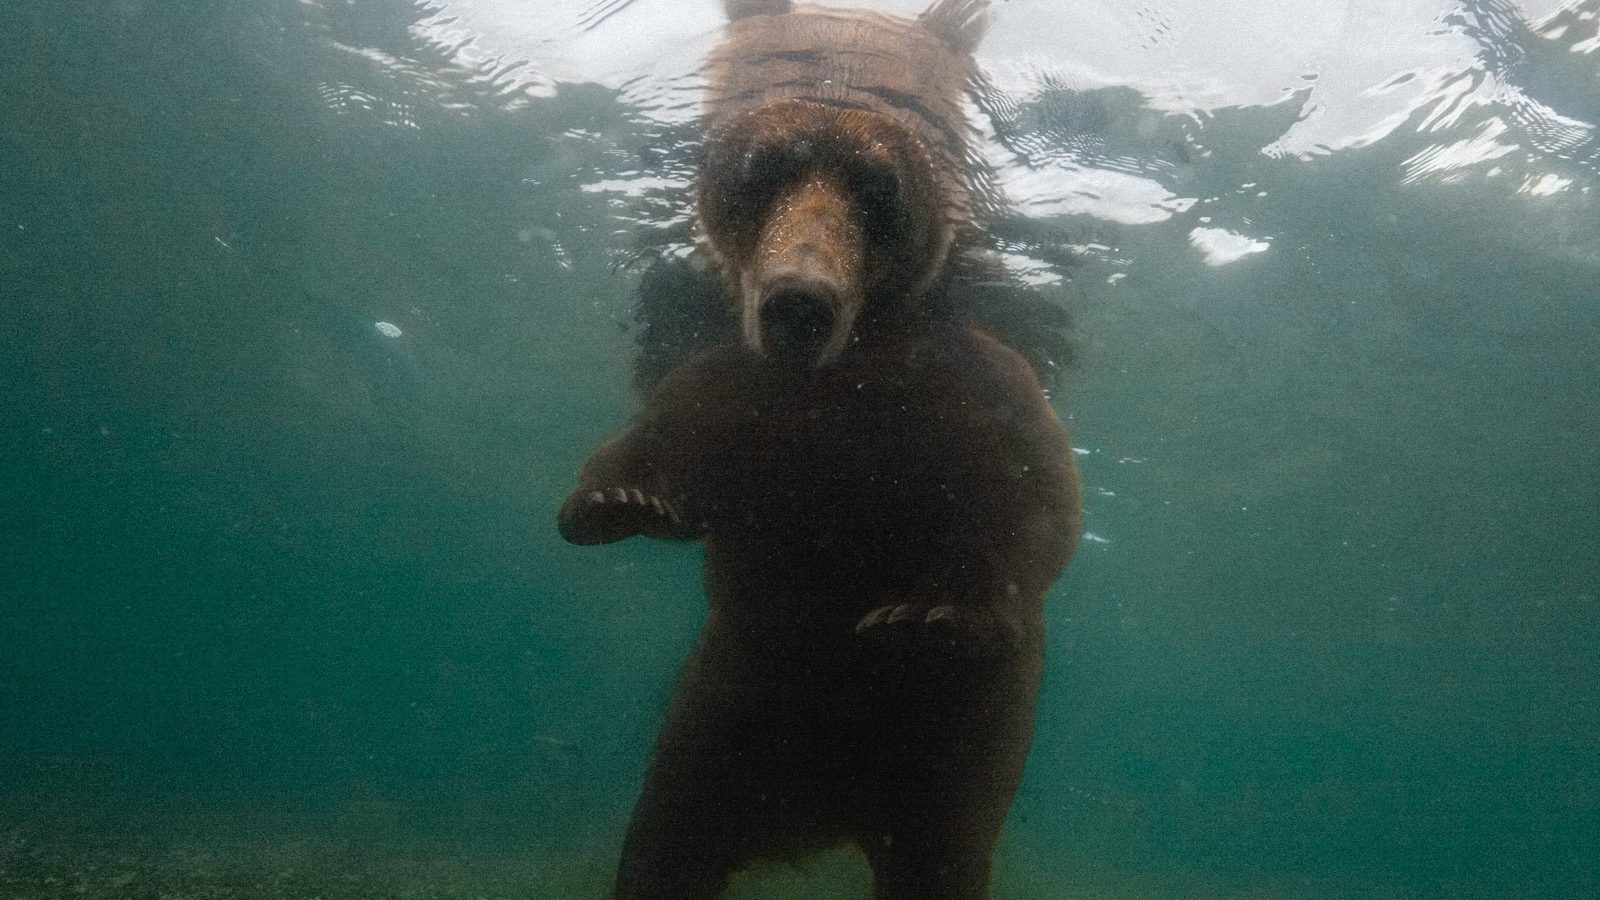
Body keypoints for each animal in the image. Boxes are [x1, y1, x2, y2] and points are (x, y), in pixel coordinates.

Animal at [557, 2, 1080, 898]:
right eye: (763, 171)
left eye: (878, 187)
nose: (799, 301)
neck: (846, 376)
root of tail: (818, 817)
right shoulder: (738, 390)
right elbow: (667, 440)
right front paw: (616, 498)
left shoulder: (974, 387)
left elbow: (1035, 502)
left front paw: (933, 611)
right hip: (721, 719)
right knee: (667, 842)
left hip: (949, 761)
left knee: (936, 861)